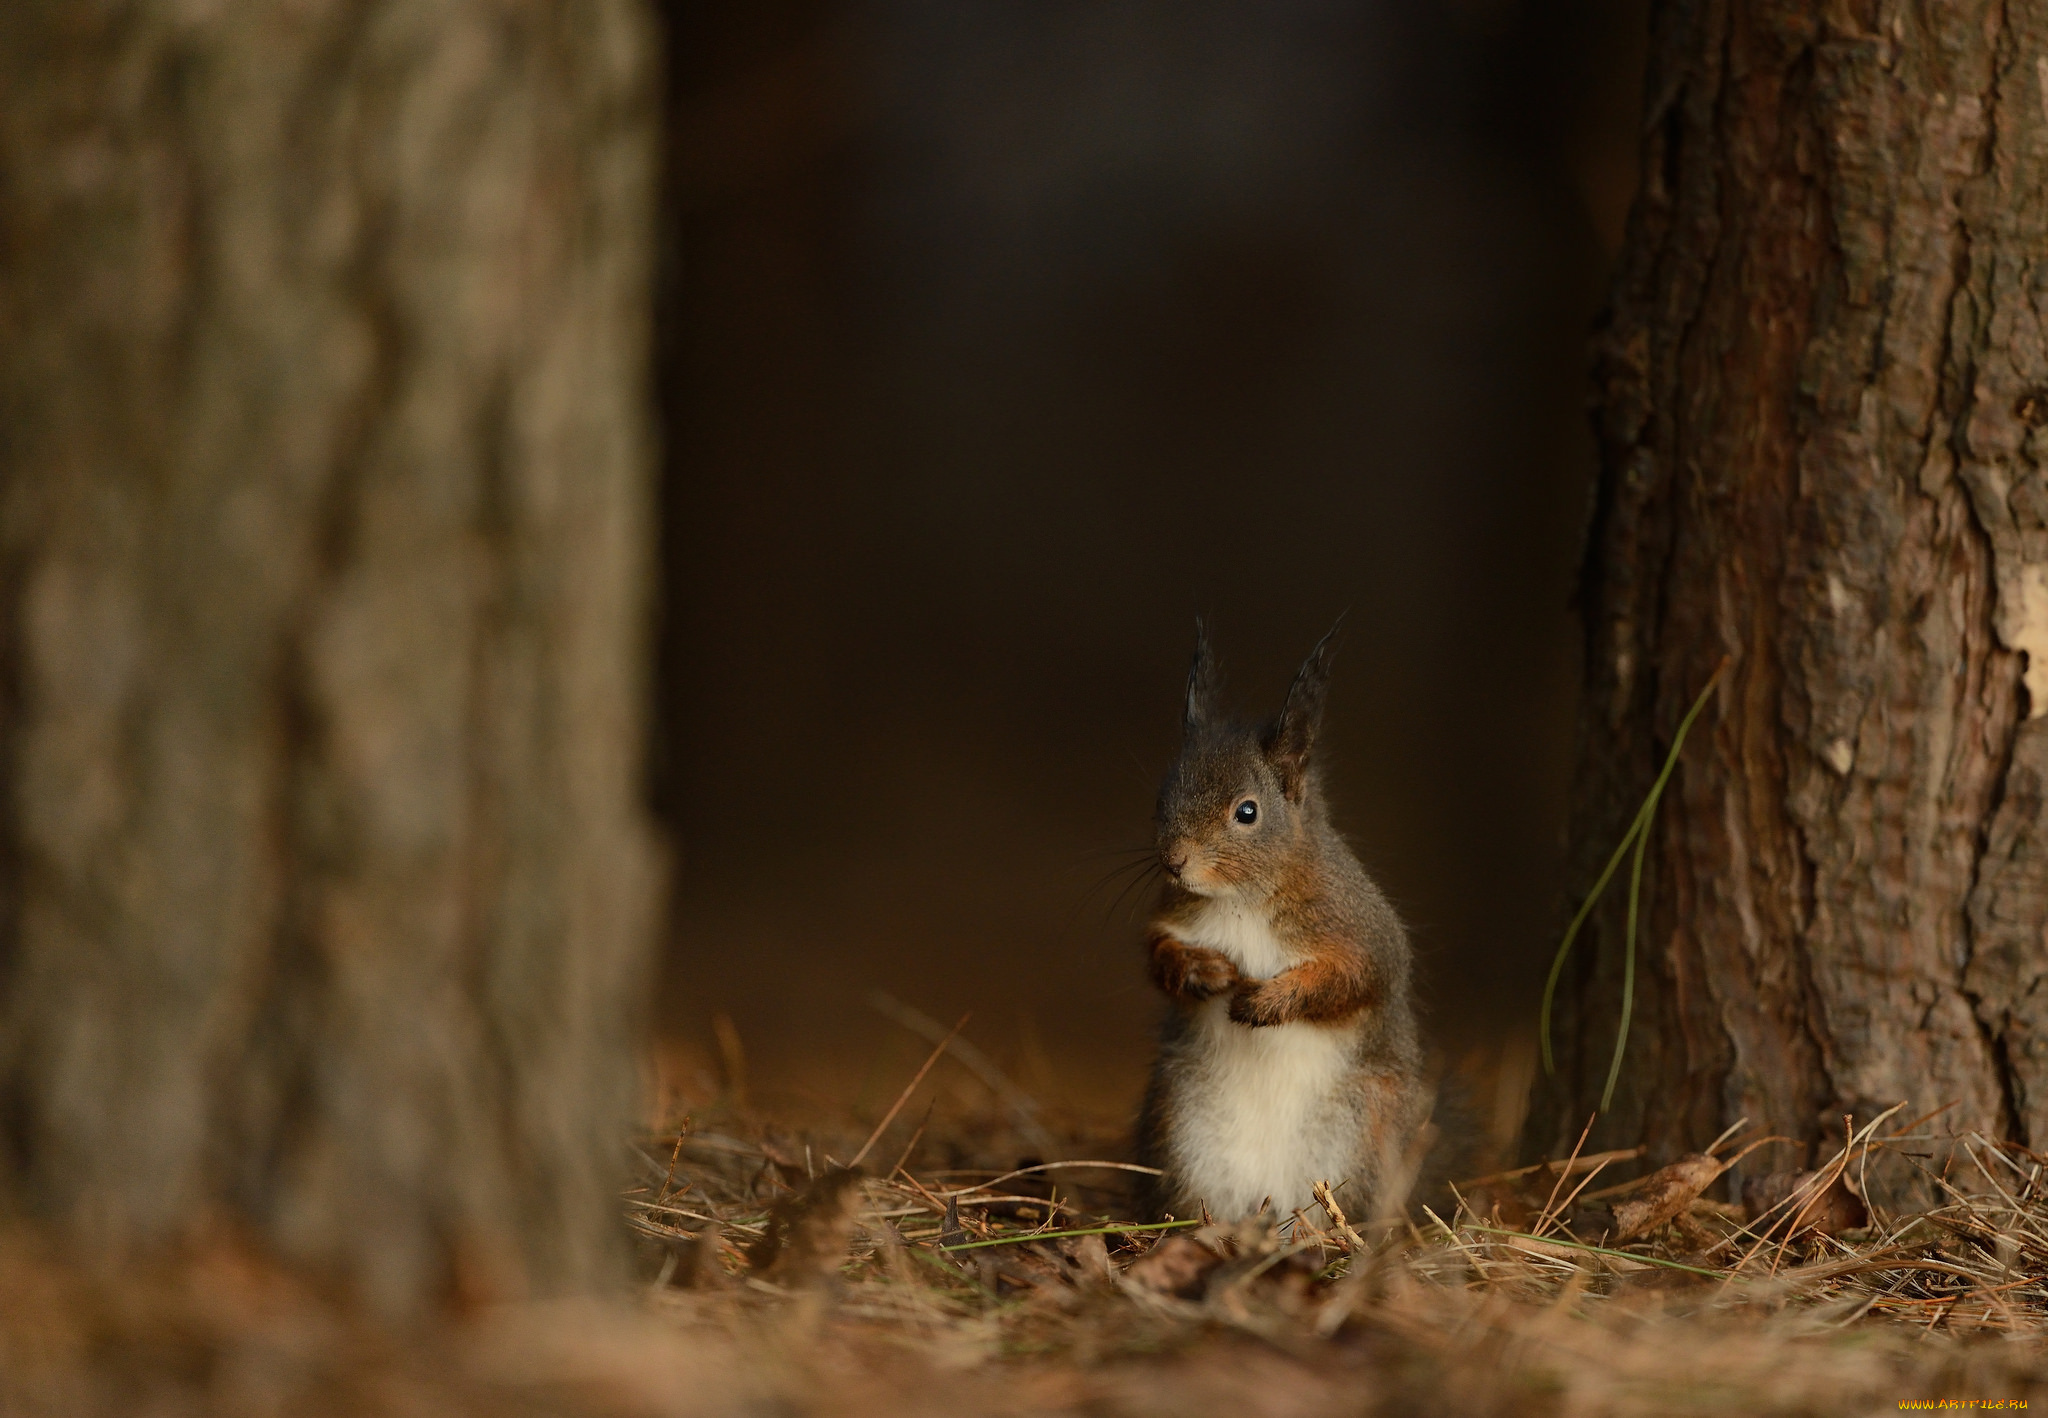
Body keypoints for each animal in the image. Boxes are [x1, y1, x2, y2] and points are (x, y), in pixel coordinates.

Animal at [1130, 627, 1433, 1221]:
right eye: (1162, 794)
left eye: (1247, 812)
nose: (1174, 860)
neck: (1240, 900)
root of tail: (1270, 1203)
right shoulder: (1174, 913)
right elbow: (1158, 955)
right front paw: (1203, 971)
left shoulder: (1357, 926)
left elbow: (1357, 977)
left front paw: (1269, 1001)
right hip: (1181, 1129)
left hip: (1365, 1131)